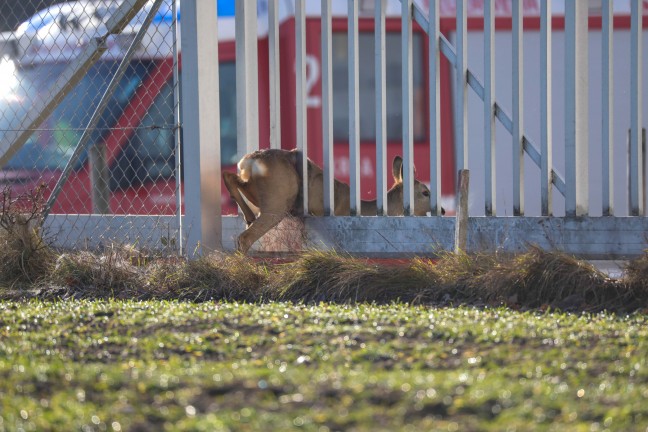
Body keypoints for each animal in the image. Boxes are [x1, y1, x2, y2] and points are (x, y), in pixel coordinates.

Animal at [223, 148, 436, 253]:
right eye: (425, 192)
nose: (441, 210)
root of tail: (248, 162)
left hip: (257, 192)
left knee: (230, 176)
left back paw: (248, 215)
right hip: (276, 202)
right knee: (245, 238)